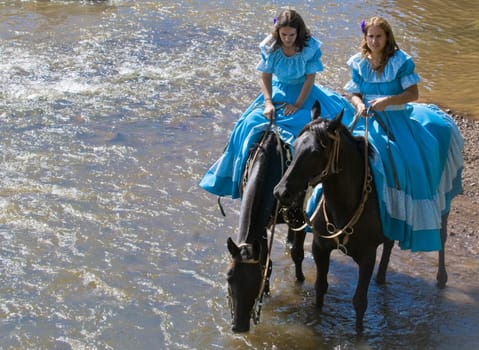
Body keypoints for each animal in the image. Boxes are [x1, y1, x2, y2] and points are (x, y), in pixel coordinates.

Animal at [274, 102, 450, 334]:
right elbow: (320, 287)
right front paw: (317, 322)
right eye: (294, 145)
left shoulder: (367, 256)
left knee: (442, 238)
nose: (281, 192)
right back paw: (382, 277)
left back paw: (441, 278)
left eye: (316, 151)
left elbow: (359, 301)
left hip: (444, 206)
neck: (345, 205)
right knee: (390, 243)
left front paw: (359, 335)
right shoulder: (320, 248)